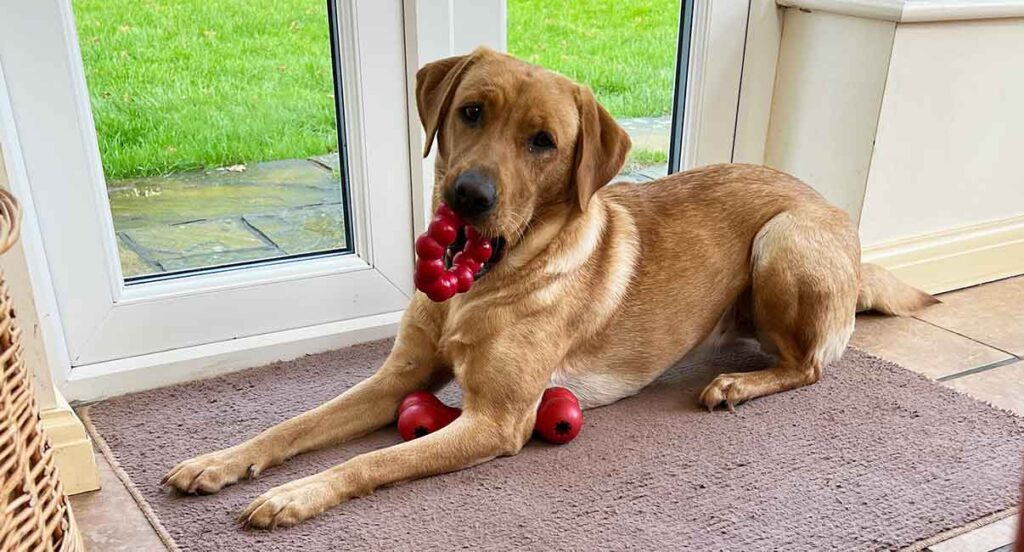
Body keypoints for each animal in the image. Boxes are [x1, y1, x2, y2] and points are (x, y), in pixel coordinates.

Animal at [163, 46, 937, 528]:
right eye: (471, 111)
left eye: (544, 142)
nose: (469, 196)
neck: (483, 281)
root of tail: (826, 203)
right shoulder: (396, 381)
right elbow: (294, 424)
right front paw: (220, 462)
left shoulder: (496, 421)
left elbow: (370, 460)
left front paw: (297, 494)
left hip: (782, 241)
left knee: (809, 366)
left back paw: (738, 384)